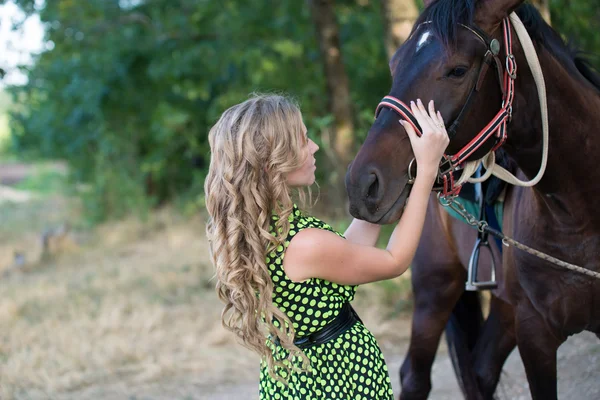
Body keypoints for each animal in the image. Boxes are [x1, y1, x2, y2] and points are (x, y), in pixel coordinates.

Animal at [344, 1, 596, 398]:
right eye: (394, 65)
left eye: (458, 70)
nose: (362, 184)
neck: (580, 214)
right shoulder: (535, 333)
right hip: (435, 288)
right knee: (416, 376)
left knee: (482, 369)